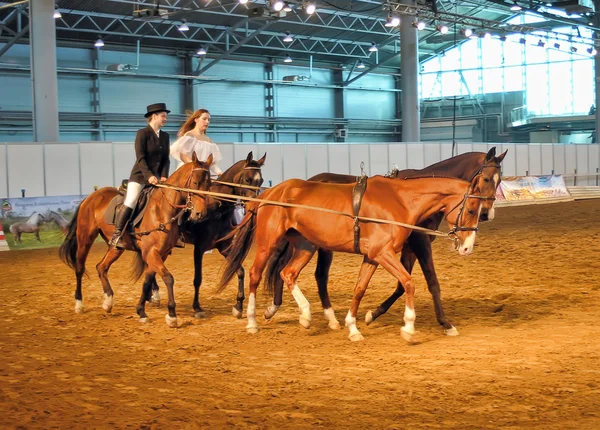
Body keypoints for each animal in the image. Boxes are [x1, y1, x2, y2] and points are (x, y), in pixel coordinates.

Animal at [59, 153, 214, 328]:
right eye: (194, 183)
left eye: (209, 184)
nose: (200, 214)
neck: (162, 209)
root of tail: (91, 197)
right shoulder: (151, 252)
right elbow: (168, 278)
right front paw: (171, 315)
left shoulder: (160, 253)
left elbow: (147, 280)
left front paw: (141, 311)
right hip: (85, 238)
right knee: (79, 268)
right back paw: (79, 304)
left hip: (116, 247)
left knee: (101, 267)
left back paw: (108, 301)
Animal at [146, 152, 266, 320]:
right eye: (248, 179)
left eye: (260, 181)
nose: (254, 205)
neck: (216, 207)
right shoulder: (199, 248)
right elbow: (198, 279)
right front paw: (197, 307)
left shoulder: (224, 247)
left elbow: (240, 270)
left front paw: (238, 306)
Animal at [219, 171, 492, 342]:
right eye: (471, 209)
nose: (467, 248)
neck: (400, 201)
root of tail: (269, 193)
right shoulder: (383, 253)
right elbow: (409, 283)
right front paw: (408, 327)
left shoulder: (372, 256)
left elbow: (360, 289)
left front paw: (353, 327)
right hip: (268, 244)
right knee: (255, 275)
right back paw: (252, 321)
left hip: (306, 246)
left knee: (288, 273)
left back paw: (306, 316)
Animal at [264, 148, 504, 336]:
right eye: (485, 179)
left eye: (500, 180)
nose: (487, 214)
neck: (407, 200)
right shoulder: (419, 244)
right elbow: (429, 283)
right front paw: (444, 323)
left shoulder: (405, 248)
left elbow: (399, 285)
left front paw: (373, 314)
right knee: (310, 273)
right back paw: (283, 309)